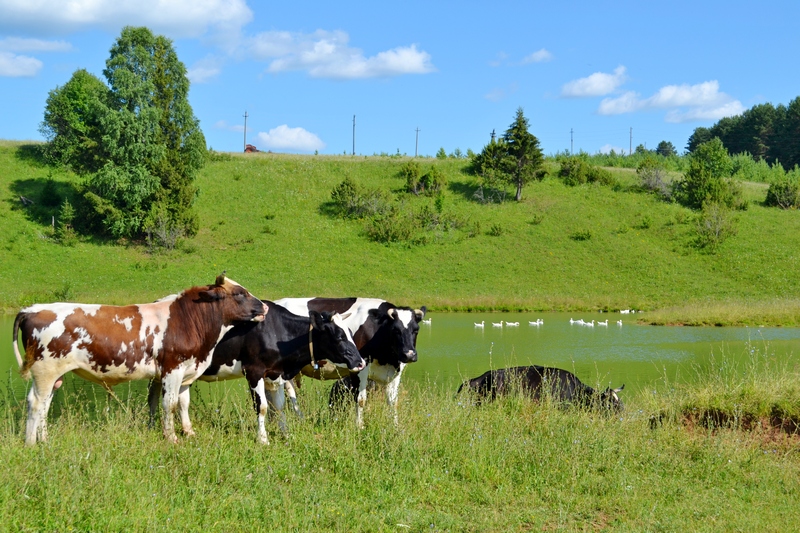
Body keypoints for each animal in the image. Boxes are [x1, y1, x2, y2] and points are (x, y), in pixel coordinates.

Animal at [12, 274, 268, 444]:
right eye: (240, 293)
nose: (264, 307)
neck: (188, 320)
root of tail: (32, 309)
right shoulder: (172, 369)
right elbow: (169, 404)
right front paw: (171, 437)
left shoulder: (187, 369)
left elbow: (183, 403)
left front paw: (189, 432)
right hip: (45, 370)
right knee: (36, 403)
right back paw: (31, 444)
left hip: (54, 375)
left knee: (45, 404)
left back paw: (44, 440)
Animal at [148, 300, 364, 444]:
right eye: (338, 336)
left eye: (350, 333)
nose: (360, 362)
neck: (277, 332)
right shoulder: (254, 371)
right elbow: (262, 407)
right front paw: (263, 439)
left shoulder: (275, 373)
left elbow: (279, 406)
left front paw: (286, 434)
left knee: (163, 398)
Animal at [276, 296, 424, 428]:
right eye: (395, 330)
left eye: (416, 330)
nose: (409, 355)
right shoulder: (360, 367)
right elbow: (361, 400)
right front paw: (359, 427)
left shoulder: (396, 371)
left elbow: (393, 402)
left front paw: (395, 427)